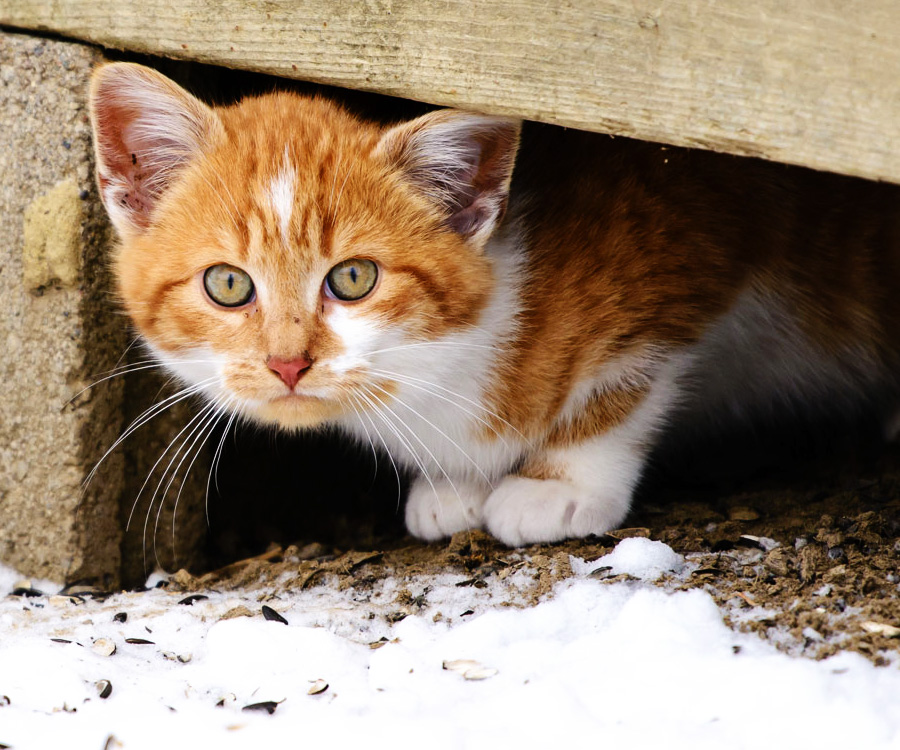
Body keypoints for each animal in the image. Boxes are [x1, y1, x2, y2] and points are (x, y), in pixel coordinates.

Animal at [86, 63, 900, 548]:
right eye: (228, 284)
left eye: (353, 279)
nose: (288, 363)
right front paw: (454, 485)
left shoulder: (694, 229)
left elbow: (628, 375)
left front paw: (558, 483)